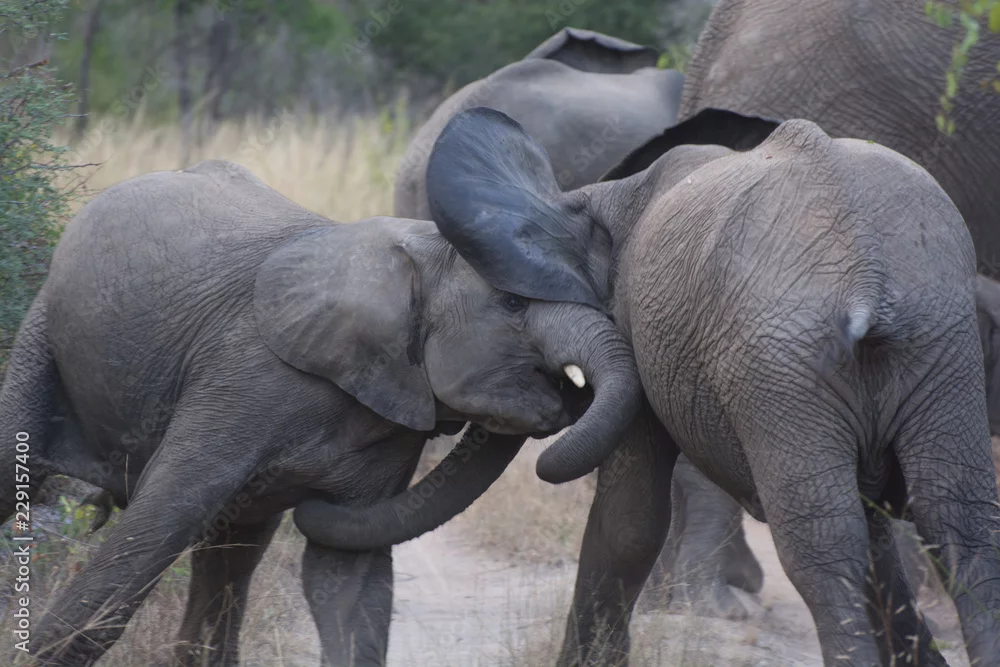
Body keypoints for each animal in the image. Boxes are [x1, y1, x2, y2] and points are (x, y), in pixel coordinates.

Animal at [0, 159, 642, 666]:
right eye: (511, 303)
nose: (567, 394)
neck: (412, 256)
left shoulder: (389, 418)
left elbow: (347, 578)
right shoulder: (243, 377)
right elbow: (164, 516)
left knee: (231, 553)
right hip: (45, 327)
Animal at [299, 107, 1000, 667]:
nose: (555, 414)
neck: (602, 196)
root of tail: (868, 269)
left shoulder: (638, 320)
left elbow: (629, 522)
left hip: (786, 365)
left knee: (822, 547)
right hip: (936, 342)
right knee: (960, 526)